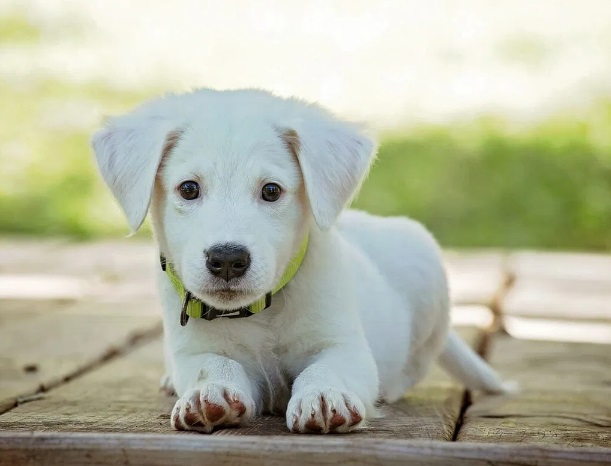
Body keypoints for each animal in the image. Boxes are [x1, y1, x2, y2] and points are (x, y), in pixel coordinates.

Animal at [93, 90, 506, 434]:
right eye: (189, 189)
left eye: (271, 191)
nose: (227, 259)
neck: (262, 312)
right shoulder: (194, 351)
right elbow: (213, 365)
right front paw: (209, 393)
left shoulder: (344, 346)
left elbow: (326, 368)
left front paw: (323, 396)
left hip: (425, 271)